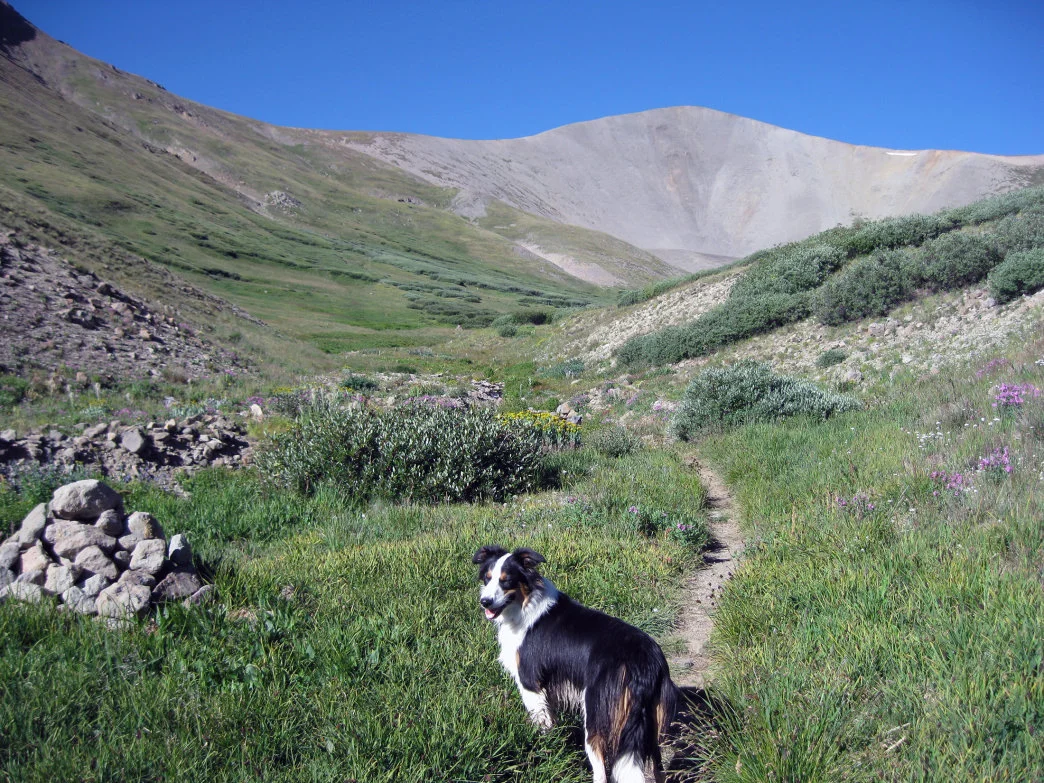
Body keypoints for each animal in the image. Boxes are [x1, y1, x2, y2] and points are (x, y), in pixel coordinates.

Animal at [473, 547, 676, 783]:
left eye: (506, 581)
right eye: (487, 579)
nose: (484, 601)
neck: (526, 604)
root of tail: (642, 661)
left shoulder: (530, 683)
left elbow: (541, 723)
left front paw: (543, 749)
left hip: (596, 715)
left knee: (601, 770)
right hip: (651, 720)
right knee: (658, 766)